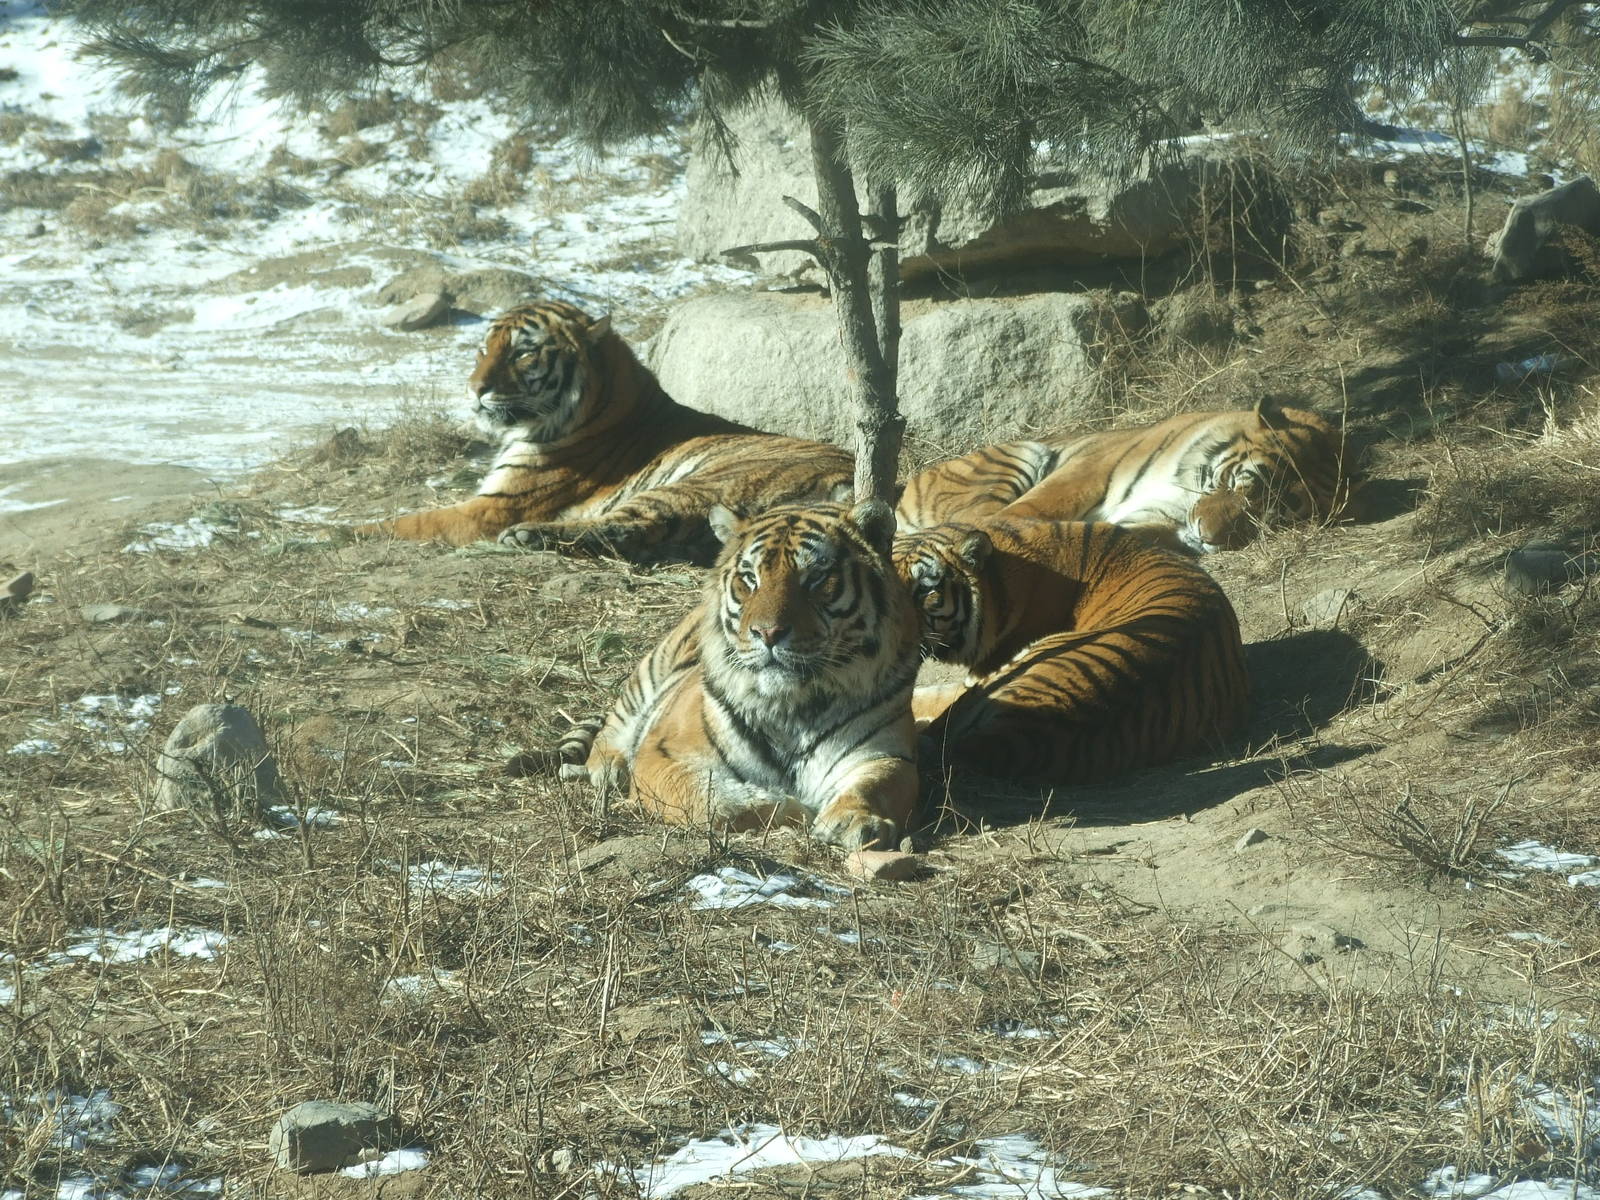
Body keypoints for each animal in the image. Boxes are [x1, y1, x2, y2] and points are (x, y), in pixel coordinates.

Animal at [357, 300, 854, 563]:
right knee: (639, 534)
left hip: (702, 481)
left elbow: (410, 520)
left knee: (632, 524)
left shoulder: (492, 507)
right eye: (484, 349)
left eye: (522, 353)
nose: (475, 389)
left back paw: (526, 535)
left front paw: (343, 532)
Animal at [566, 500, 920, 850]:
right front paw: (794, 810)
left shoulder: (887, 754)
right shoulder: (663, 753)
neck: (792, 706)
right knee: (613, 728)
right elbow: (714, 800)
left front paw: (856, 821)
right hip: (648, 675)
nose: (768, 633)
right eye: (750, 578)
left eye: (817, 577)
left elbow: (876, 785)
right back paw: (609, 769)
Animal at [896, 399, 1361, 555]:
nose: (1206, 536)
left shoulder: (1151, 519)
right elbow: (1026, 512)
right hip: (1017, 457)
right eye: (1236, 483)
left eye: (1270, 518)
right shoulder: (1087, 471)